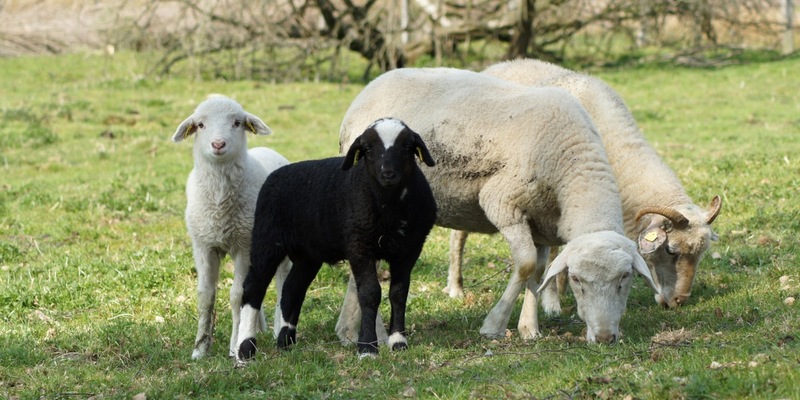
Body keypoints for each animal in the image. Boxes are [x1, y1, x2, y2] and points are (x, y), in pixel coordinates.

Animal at [172, 96, 292, 359]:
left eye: (237, 123)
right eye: (200, 125)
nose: (218, 144)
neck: (219, 203)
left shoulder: (243, 246)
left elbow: (237, 295)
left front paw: (236, 345)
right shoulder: (203, 245)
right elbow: (205, 296)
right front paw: (200, 348)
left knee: (281, 280)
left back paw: (278, 327)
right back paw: (258, 325)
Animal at [236, 117, 437, 360]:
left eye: (407, 147)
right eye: (367, 149)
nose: (388, 174)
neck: (390, 207)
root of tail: (276, 174)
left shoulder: (410, 249)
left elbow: (398, 293)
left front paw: (398, 342)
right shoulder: (359, 246)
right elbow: (369, 294)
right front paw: (367, 347)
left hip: (308, 254)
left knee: (292, 290)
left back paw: (286, 341)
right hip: (267, 240)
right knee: (253, 288)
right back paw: (245, 348)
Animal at [337, 68, 659, 344]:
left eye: (625, 278)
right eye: (577, 280)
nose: (605, 338)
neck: (570, 160)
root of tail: (367, 90)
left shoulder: (543, 223)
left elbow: (538, 272)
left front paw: (529, 328)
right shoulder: (503, 205)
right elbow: (526, 264)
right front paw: (494, 324)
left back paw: (347, 331)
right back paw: (374, 334)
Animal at [443, 59, 719, 310]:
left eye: (702, 253)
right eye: (671, 250)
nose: (679, 302)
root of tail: (500, 64)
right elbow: (554, 252)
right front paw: (552, 302)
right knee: (459, 235)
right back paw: (456, 287)